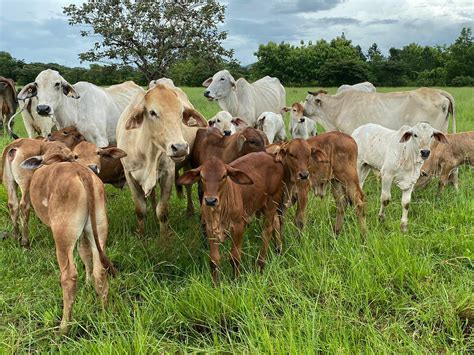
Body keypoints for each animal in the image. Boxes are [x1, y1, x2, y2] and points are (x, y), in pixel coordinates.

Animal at [116, 82, 207, 234]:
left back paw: (189, 211)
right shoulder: (129, 174)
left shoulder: (168, 173)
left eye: (181, 113)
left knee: (188, 187)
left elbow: (163, 211)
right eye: (152, 112)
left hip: (187, 163)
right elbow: (140, 209)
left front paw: (164, 237)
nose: (180, 147)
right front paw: (141, 234)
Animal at [176, 153, 284, 284]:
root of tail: (271, 156)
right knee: (276, 222)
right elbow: (214, 260)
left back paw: (260, 265)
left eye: (223, 176)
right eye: (202, 176)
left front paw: (236, 281)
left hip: (272, 201)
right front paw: (216, 284)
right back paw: (278, 250)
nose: (210, 200)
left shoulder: (238, 226)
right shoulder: (210, 229)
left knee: (267, 231)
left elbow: (234, 257)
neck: (219, 212)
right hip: (263, 204)